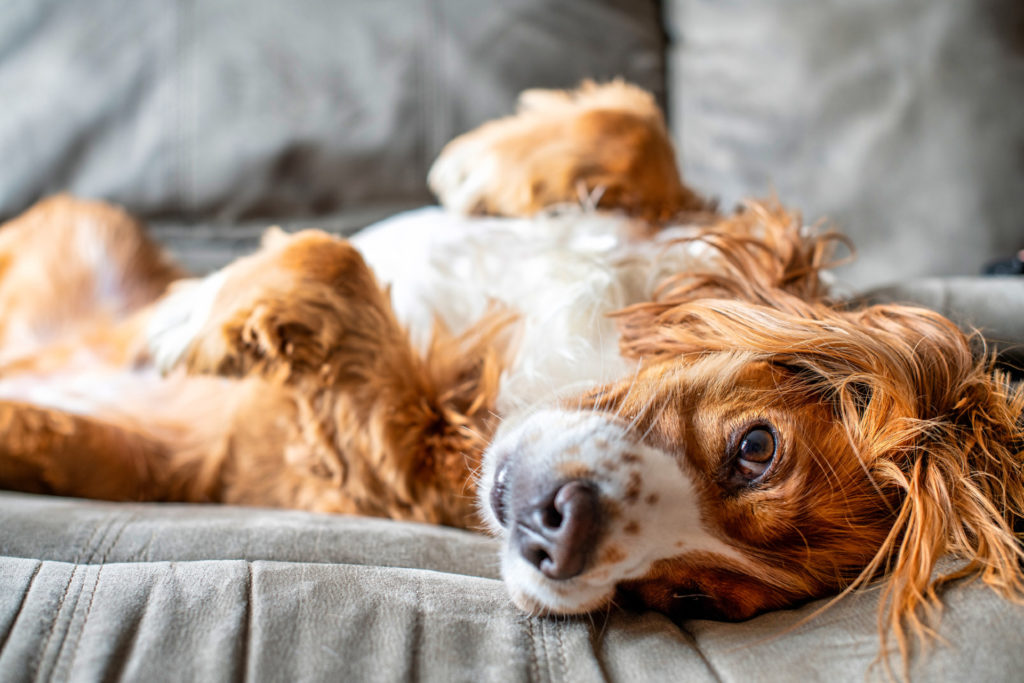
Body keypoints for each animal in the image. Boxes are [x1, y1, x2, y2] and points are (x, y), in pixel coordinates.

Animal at [0, 78, 1019, 663]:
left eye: (689, 596)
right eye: (757, 447)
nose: (562, 534)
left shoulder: (385, 450)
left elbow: (334, 268)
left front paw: (213, 313)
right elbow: (639, 132)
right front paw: (486, 161)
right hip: (87, 222)